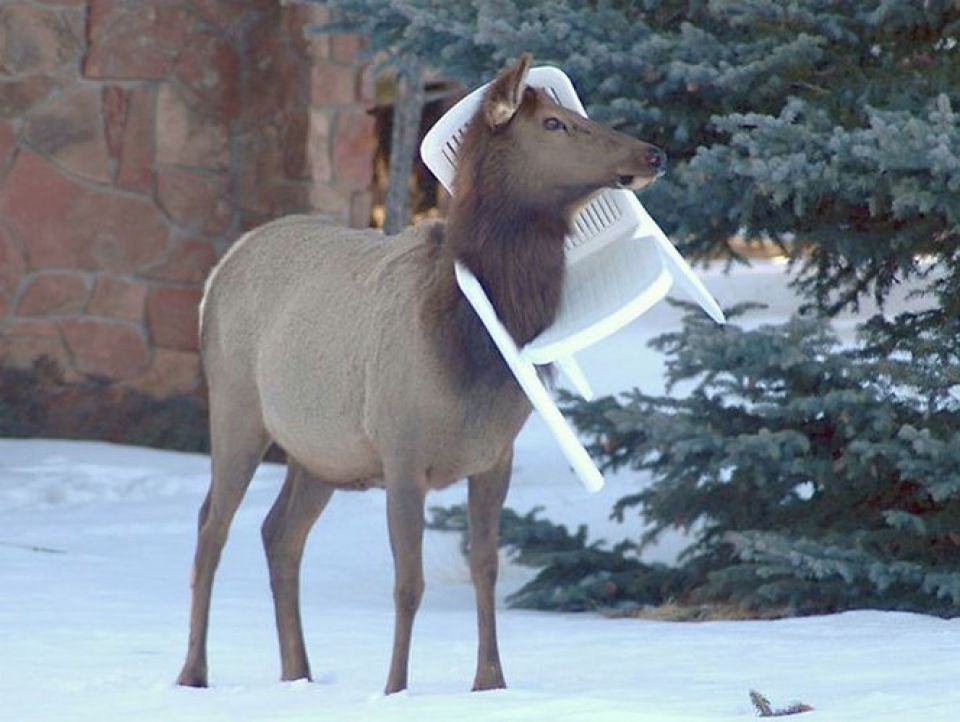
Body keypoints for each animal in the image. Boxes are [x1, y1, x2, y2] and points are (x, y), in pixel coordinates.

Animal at [176, 53, 664, 696]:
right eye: (555, 123)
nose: (652, 154)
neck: (466, 350)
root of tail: (220, 271)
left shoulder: (494, 456)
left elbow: (485, 566)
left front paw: (490, 683)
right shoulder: (402, 450)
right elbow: (409, 582)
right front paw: (395, 688)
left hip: (321, 452)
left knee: (279, 533)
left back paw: (298, 673)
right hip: (236, 408)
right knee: (212, 527)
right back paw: (193, 672)